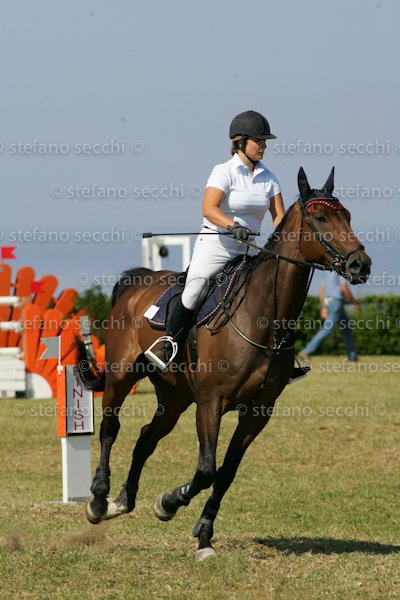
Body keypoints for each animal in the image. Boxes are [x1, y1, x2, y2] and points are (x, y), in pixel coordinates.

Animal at [76, 166, 371, 560]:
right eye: (321, 218)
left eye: (348, 216)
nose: (360, 265)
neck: (263, 318)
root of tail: (135, 283)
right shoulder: (211, 402)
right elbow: (206, 469)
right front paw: (169, 502)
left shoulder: (257, 412)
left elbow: (225, 472)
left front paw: (201, 533)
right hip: (122, 377)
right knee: (111, 428)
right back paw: (98, 501)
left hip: (175, 397)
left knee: (146, 438)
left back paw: (123, 500)